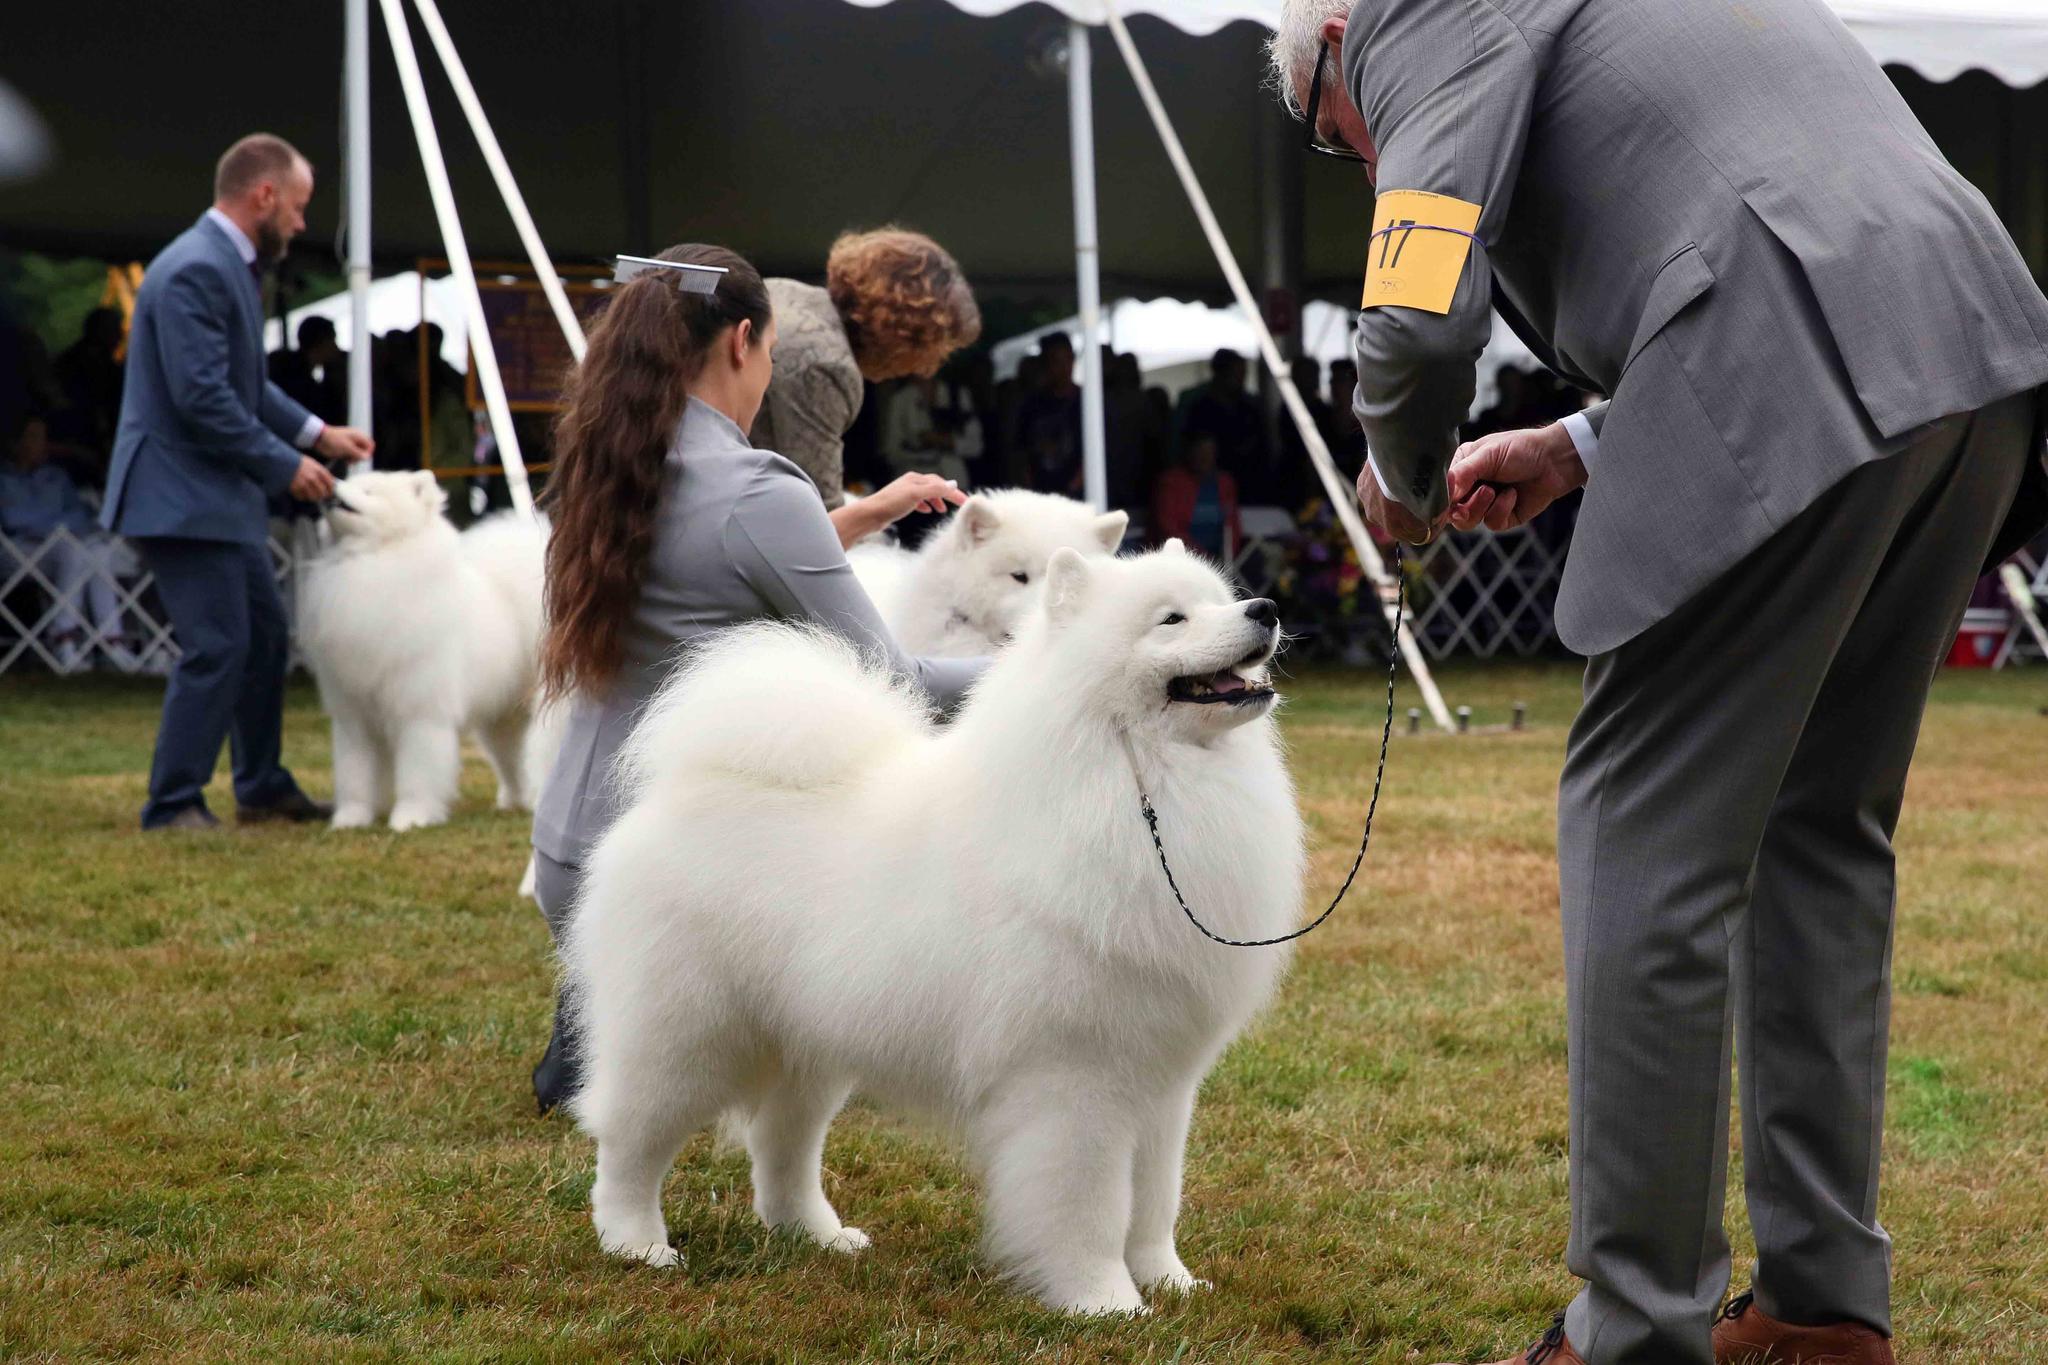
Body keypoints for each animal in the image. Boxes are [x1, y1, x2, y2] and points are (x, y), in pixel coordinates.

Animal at [296, 470, 552, 834]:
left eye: (369, 490)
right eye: (348, 481)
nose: (329, 487)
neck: (372, 561)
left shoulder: (419, 711)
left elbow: (417, 772)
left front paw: (411, 817)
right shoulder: (353, 715)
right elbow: (354, 773)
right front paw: (351, 819)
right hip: (502, 714)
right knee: (510, 756)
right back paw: (515, 800)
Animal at [561, 540, 1294, 1309]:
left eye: (1223, 597)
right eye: (1172, 618)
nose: (1266, 608)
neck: (1142, 780)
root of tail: (681, 788)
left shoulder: (1162, 1083)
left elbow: (1155, 1202)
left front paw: (1171, 1283)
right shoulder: (1076, 1080)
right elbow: (1089, 1207)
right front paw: (1104, 1302)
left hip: (809, 1046)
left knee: (782, 1148)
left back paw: (817, 1236)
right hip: (685, 1037)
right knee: (630, 1142)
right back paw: (637, 1243)